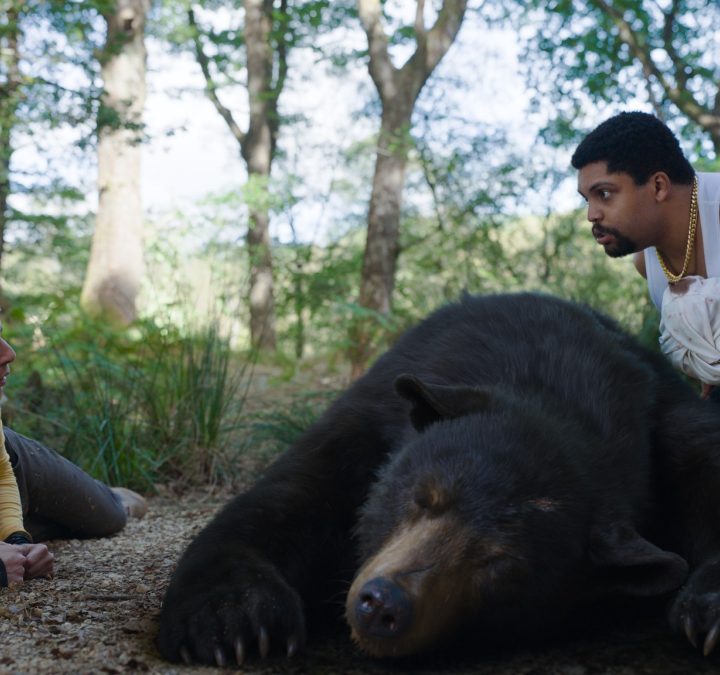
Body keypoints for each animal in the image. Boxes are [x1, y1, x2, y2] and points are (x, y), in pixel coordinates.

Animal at [157, 291, 720, 666]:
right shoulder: (372, 417)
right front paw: (239, 619)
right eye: (422, 497)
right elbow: (285, 501)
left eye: (501, 565)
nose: (382, 605)